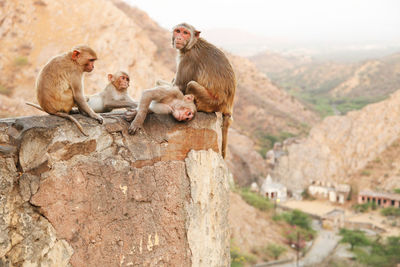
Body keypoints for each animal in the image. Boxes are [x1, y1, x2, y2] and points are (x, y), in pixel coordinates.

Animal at [170, 23, 236, 158]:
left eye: (185, 33)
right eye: (178, 31)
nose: (179, 37)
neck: (192, 45)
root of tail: (228, 106)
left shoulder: (188, 59)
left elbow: (179, 86)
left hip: (212, 102)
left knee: (191, 85)